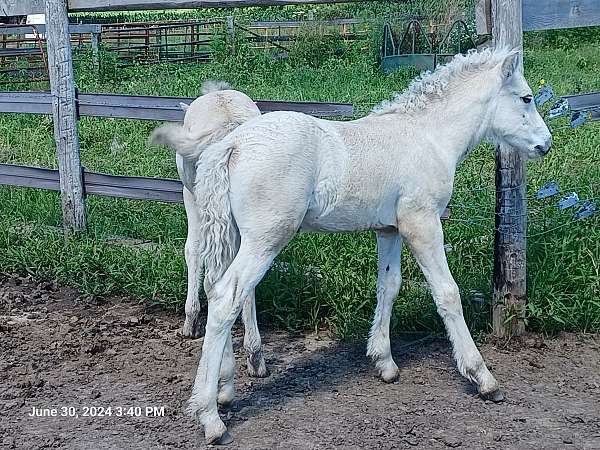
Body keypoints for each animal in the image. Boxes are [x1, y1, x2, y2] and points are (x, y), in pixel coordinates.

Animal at [185, 48, 552, 442]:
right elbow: (447, 293)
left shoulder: (389, 229)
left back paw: (225, 389)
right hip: (265, 239)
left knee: (217, 288)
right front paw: (482, 377)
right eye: (526, 98)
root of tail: (232, 143)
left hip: (236, 236)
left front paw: (384, 362)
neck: (429, 135)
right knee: (226, 298)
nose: (545, 144)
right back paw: (211, 418)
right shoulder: (422, 223)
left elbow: (389, 286)